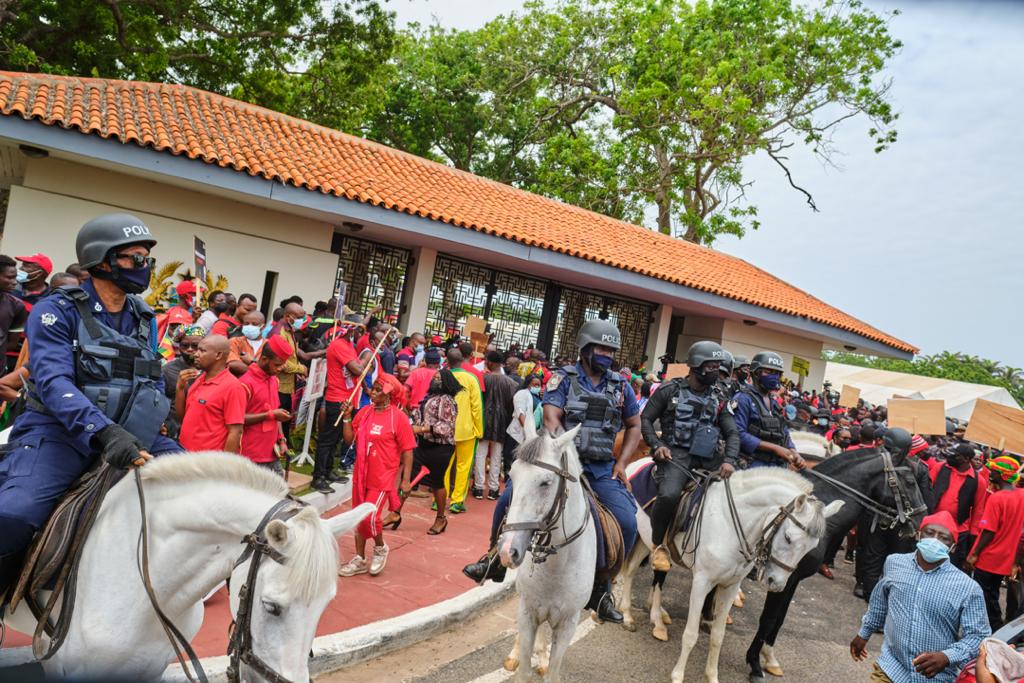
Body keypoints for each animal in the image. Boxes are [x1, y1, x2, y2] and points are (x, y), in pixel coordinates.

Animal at [493, 423, 593, 679]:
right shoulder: (528, 612)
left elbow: (553, 673)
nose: (507, 551)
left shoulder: (568, 624)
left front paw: (545, 662)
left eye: (546, 483)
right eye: (511, 476)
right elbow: (524, 673)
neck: (557, 567)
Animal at [614, 458, 839, 683]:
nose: (776, 584)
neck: (728, 525)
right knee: (632, 571)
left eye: (812, 547)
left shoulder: (730, 586)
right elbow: (690, 635)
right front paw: (678, 675)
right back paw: (629, 615)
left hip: (647, 539)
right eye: (788, 537)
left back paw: (650, 615)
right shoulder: (701, 583)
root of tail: (639, 461)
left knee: (641, 570)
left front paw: (712, 676)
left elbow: (718, 636)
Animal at [745, 448, 929, 683]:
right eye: (911, 482)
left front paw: (770, 658)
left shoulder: (791, 579)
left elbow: (779, 619)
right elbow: (768, 619)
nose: (923, 519)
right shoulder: (779, 577)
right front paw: (754, 663)